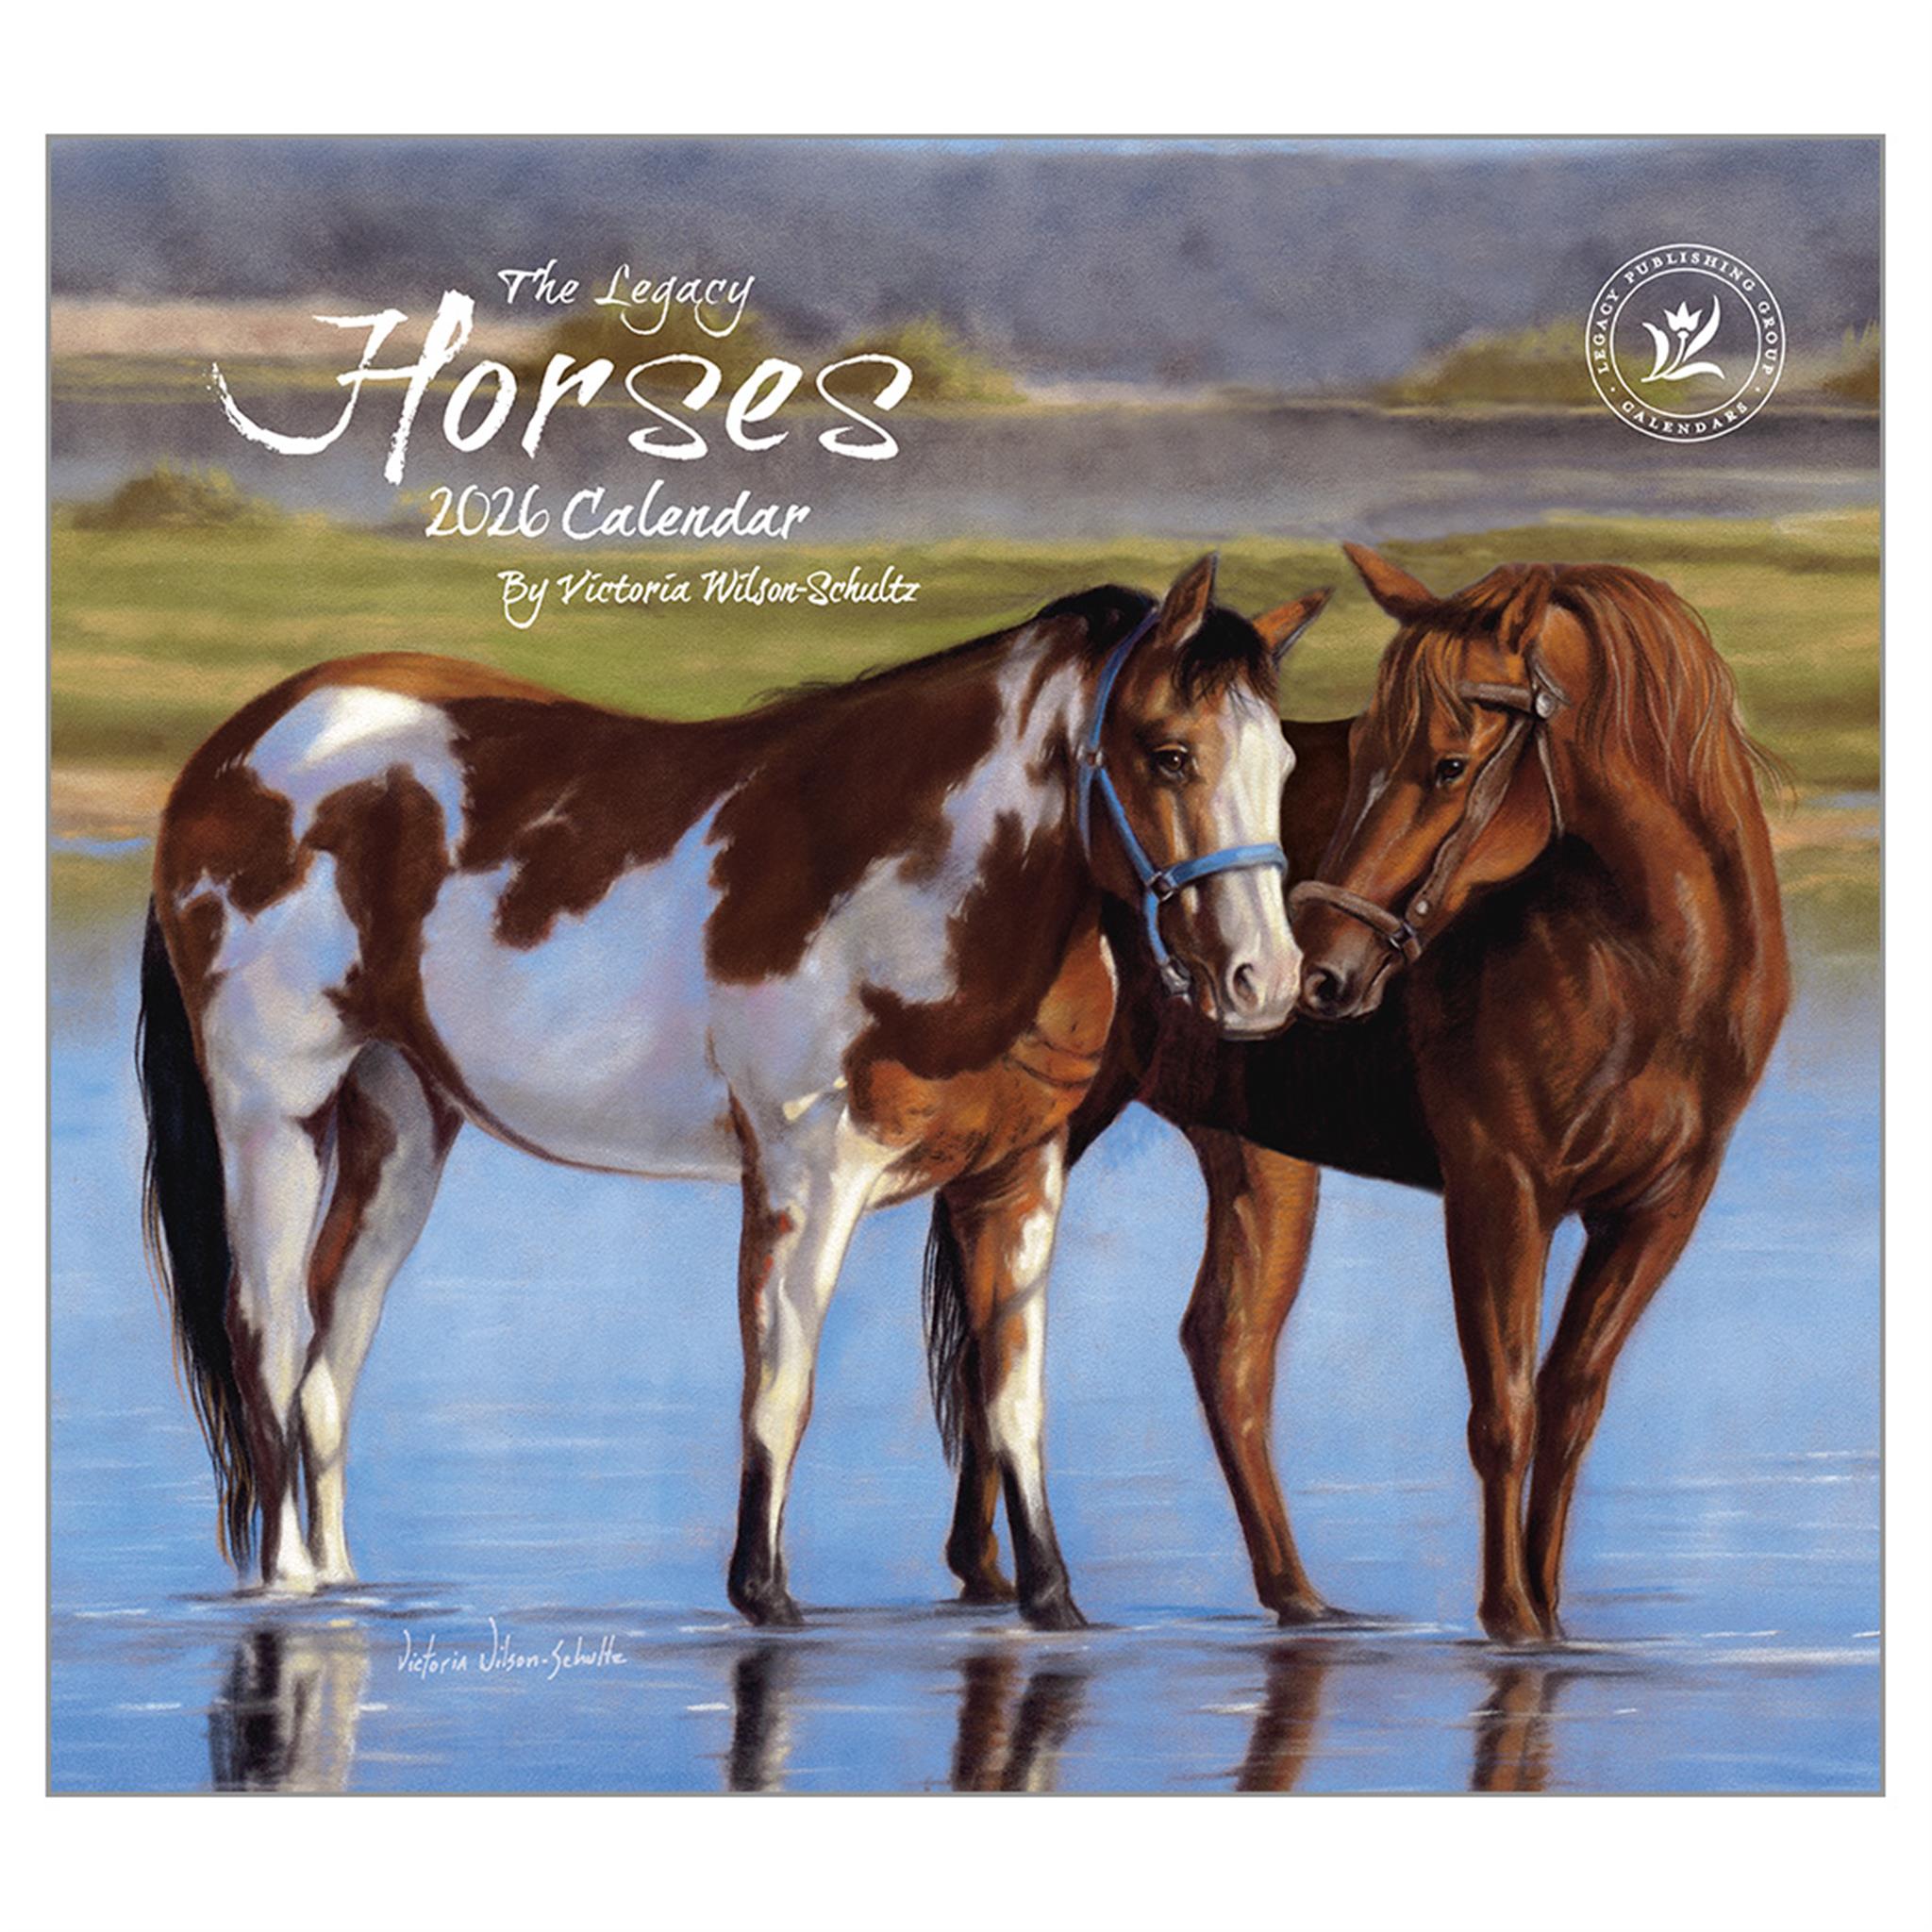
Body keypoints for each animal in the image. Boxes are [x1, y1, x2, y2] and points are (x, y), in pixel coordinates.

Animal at [137, 555, 1324, 1631]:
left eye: (1283, 760)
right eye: (1169, 753)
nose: (1263, 981)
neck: (896, 881)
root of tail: (237, 748)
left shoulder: (1014, 1179)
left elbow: (1012, 1397)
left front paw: (1052, 1600)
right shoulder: (808, 1175)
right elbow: (780, 1381)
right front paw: (763, 1593)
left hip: (401, 1119)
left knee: (332, 1355)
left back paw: (345, 1585)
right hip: (273, 1111)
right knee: (268, 1335)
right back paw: (289, 1584)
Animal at [927, 544, 1788, 1643]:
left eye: (1451, 764)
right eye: (1368, 745)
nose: (1320, 971)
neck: (1650, 961)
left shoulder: (1658, 1208)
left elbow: (1570, 1399)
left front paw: (1550, 1613)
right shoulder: (1498, 1191)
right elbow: (1503, 1405)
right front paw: (1510, 1615)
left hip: (1257, 1155)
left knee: (1225, 1346)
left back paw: (1286, 1592)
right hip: (1057, 1122)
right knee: (997, 1311)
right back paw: (999, 1568)